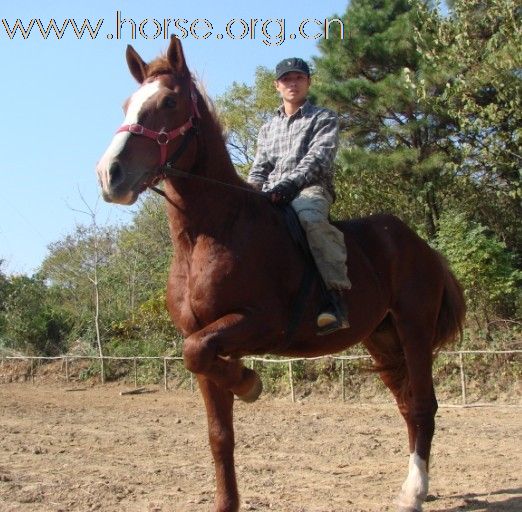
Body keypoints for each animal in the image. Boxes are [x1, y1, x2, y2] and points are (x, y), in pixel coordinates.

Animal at [96, 37, 464, 512]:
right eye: (127, 104)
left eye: (169, 102)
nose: (110, 174)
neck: (210, 234)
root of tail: (424, 247)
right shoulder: (211, 343)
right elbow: (219, 434)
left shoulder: (259, 324)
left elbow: (196, 352)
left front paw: (249, 383)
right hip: (384, 340)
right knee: (407, 406)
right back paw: (413, 484)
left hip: (413, 331)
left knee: (423, 406)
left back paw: (414, 492)